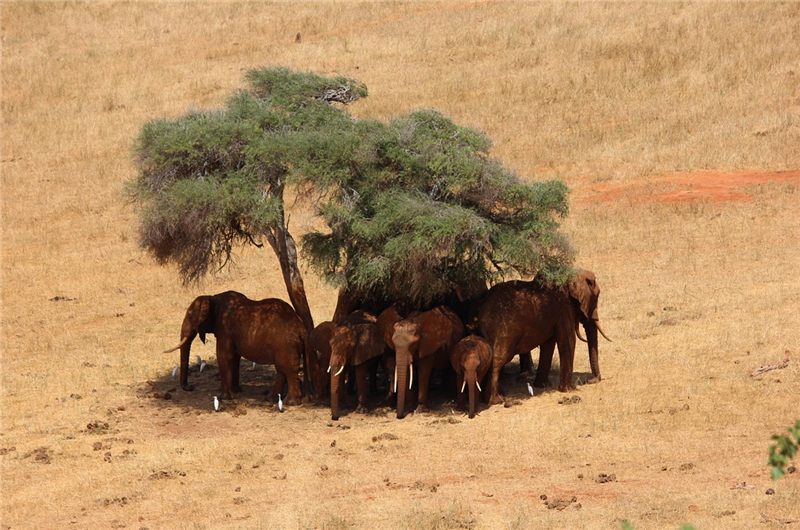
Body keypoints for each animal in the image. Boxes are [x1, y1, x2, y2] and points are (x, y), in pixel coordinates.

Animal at [163, 291, 305, 404]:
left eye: (190, 315)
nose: (191, 387)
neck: (213, 297)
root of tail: (300, 326)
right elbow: (235, 358)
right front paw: (236, 391)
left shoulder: (225, 328)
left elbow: (223, 356)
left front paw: (223, 397)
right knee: (282, 370)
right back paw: (270, 399)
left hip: (285, 345)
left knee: (287, 369)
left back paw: (290, 402)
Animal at [476, 269, 610, 406]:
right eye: (596, 297)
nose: (590, 380)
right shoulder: (564, 307)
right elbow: (567, 341)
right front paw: (568, 390)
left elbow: (548, 345)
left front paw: (542, 386)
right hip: (503, 330)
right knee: (498, 359)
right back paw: (496, 400)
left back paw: (495, 397)